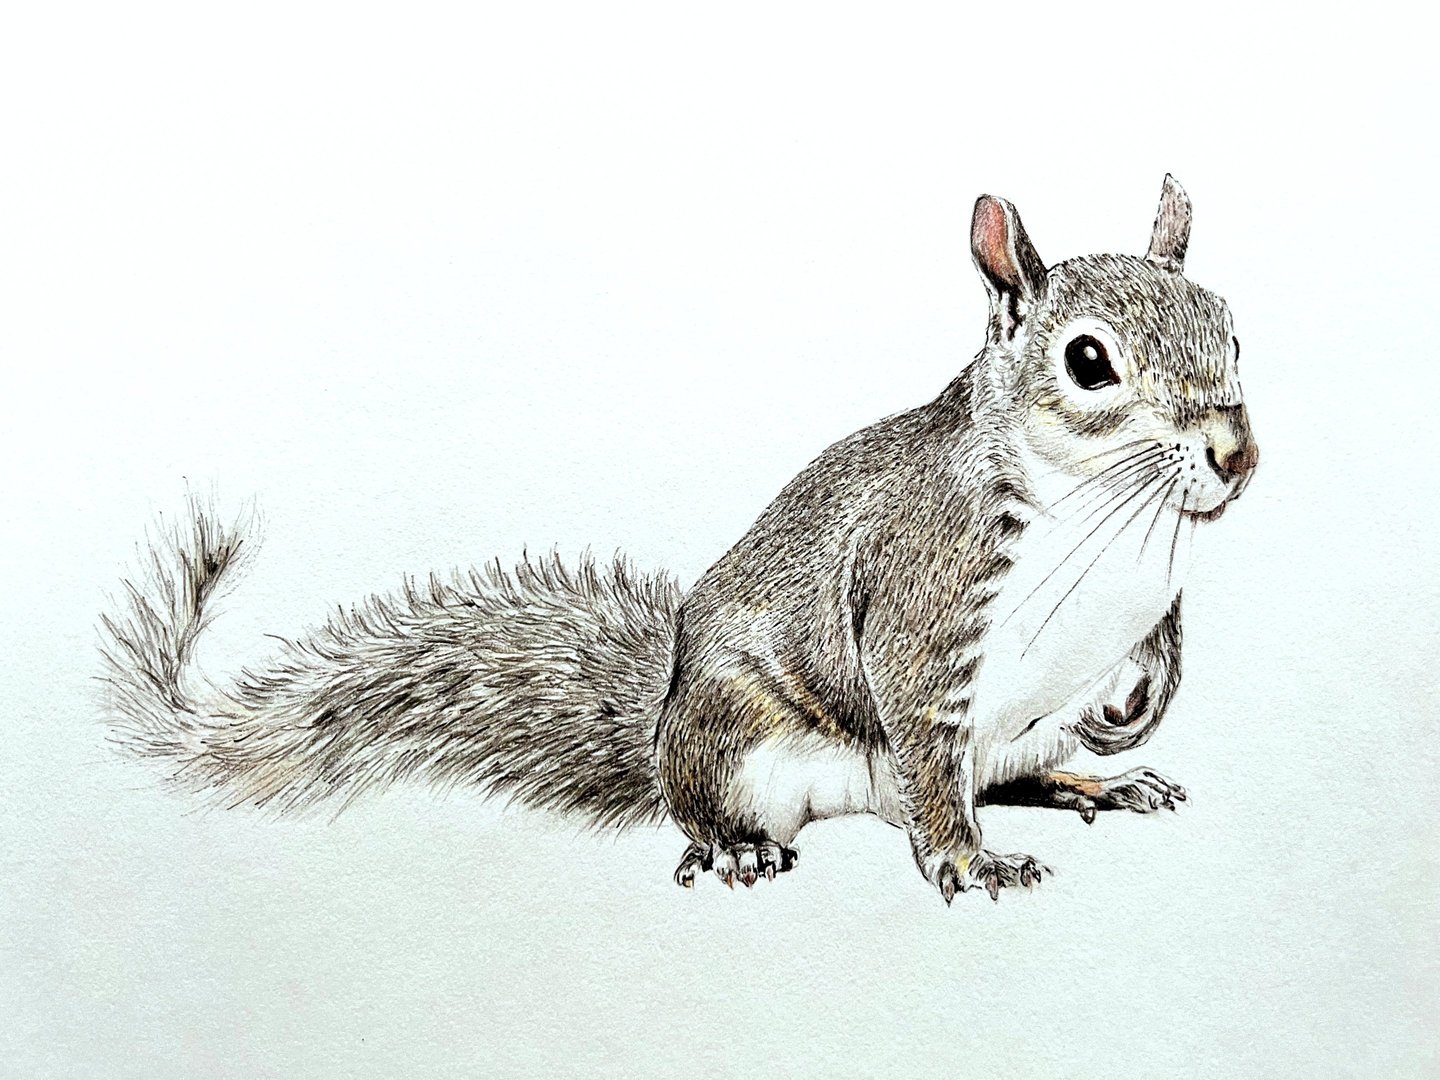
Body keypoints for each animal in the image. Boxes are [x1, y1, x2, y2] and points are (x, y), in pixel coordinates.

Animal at [101, 175, 1259, 903]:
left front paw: (1139, 704)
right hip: (734, 744)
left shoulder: (1154, 591)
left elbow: (1164, 643)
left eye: (1232, 331)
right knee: (801, 804)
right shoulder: (924, 591)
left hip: (1021, 734)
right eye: (1089, 362)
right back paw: (746, 849)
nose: (1236, 453)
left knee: (1008, 774)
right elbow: (925, 742)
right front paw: (971, 869)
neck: (1115, 520)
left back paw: (1100, 782)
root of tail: (664, 720)